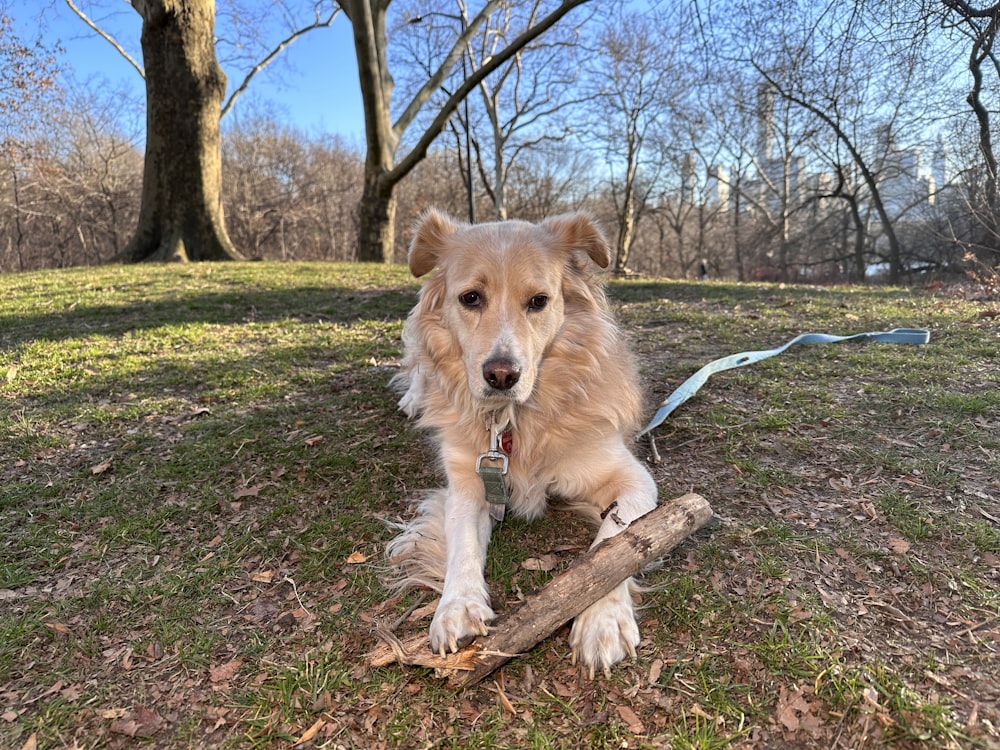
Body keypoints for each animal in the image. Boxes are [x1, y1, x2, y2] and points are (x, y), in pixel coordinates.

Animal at [386, 209, 660, 680]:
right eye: (471, 298)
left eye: (538, 301)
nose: (501, 375)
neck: (513, 421)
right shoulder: (469, 481)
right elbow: (462, 543)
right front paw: (456, 606)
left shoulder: (633, 479)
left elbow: (616, 541)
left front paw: (602, 619)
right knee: (420, 364)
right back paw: (415, 398)